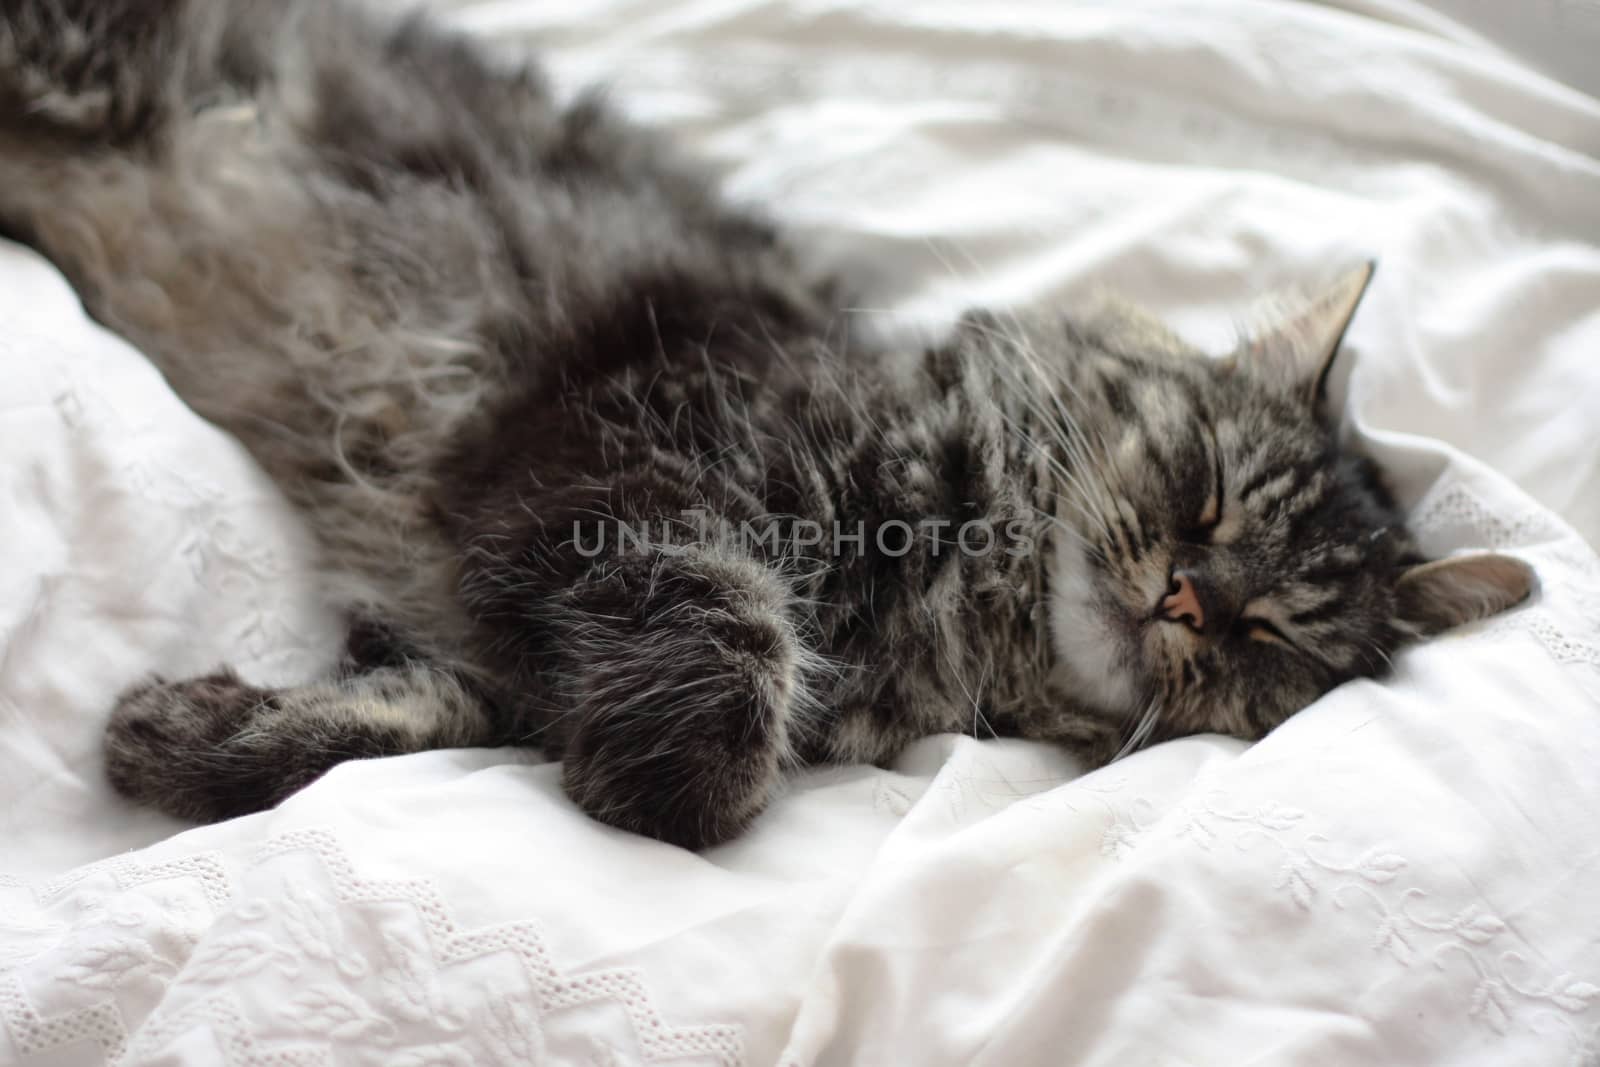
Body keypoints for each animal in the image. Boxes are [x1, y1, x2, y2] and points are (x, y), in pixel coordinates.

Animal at [0, 0, 1536, 851]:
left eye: (1271, 633)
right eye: (1202, 486)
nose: (1187, 594)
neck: (951, 599)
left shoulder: (491, 631)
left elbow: (397, 720)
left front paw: (175, 734)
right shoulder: (629, 452)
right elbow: (731, 680)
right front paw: (648, 784)